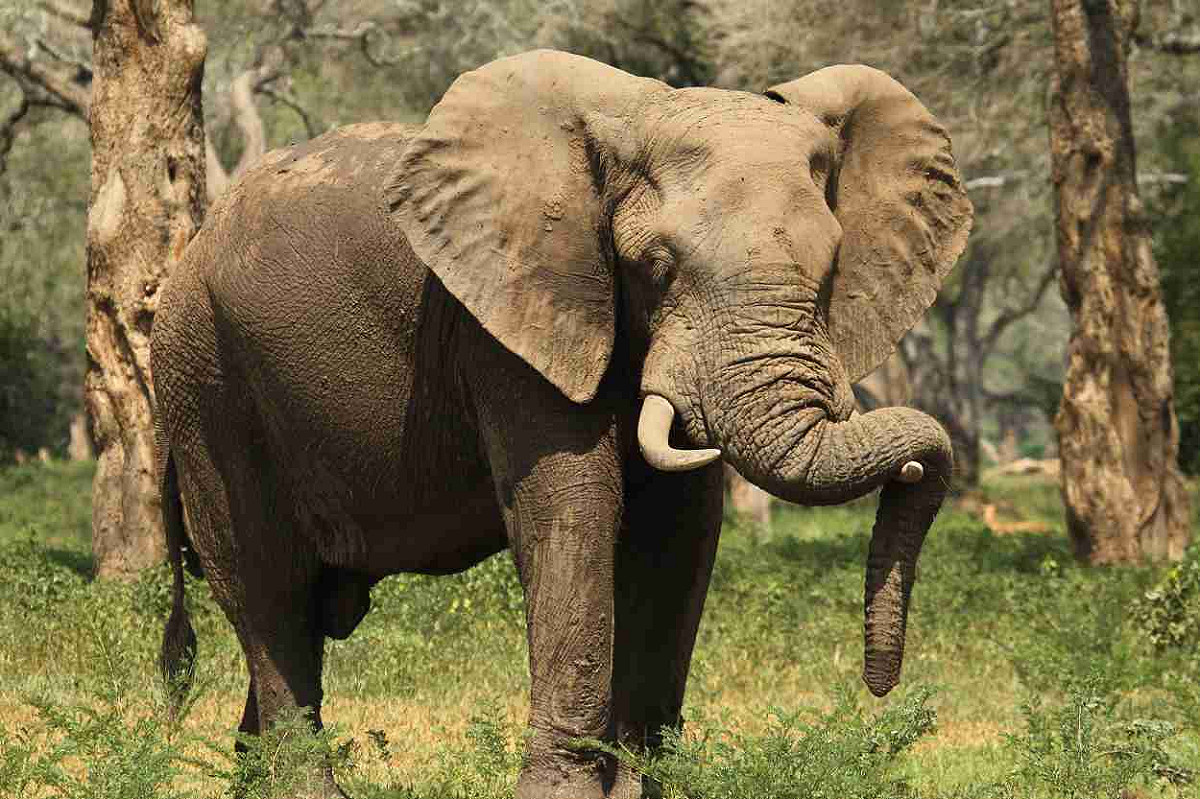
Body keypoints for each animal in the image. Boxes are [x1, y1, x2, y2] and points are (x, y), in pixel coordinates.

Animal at [151, 49, 972, 799]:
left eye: (831, 266)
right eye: (657, 264)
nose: (879, 683)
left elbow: (679, 531)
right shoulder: (507, 316)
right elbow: (574, 507)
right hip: (204, 383)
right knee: (269, 593)